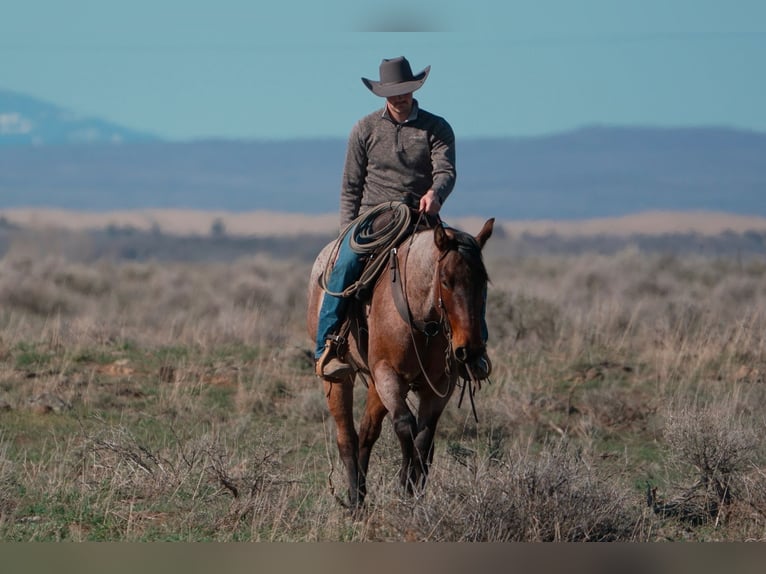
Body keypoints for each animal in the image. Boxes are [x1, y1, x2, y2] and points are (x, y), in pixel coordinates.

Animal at [307, 216, 494, 508]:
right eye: (445, 280)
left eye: (483, 281)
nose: (470, 350)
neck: (422, 319)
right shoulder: (388, 374)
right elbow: (406, 425)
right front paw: (405, 483)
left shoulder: (439, 385)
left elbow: (424, 439)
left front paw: (413, 490)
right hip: (341, 379)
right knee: (347, 436)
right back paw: (355, 500)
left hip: (375, 384)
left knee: (367, 432)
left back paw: (362, 492)